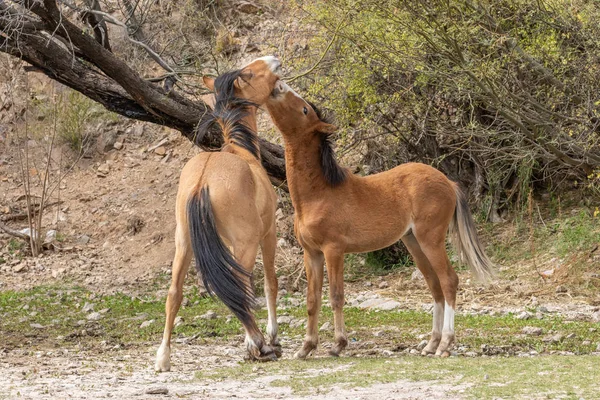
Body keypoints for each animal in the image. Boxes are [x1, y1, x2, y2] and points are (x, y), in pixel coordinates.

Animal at [157, 56, 284, 372]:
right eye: (250, 72)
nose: (274, 59)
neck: (240, 151)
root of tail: (202, 180)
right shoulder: (268, 235)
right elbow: (269, 284)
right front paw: (273, 337)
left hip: (184, 244)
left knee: (174, 293)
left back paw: (163, 357)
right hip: (246, 245)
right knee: (240, 288)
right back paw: (259, 345)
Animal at [264, 79, 494, 358]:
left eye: (305, 109)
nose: (277, 85)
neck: (318, 194)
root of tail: (448, 183)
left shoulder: (333, 250)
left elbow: (336, 296)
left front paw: (338, 345)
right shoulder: (312, 253)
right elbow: (312, 300)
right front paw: (306, 347)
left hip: (431, 239)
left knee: (449, 281)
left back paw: (445, 344)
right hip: (413, 242)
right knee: (435, 285)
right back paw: (431, 344)